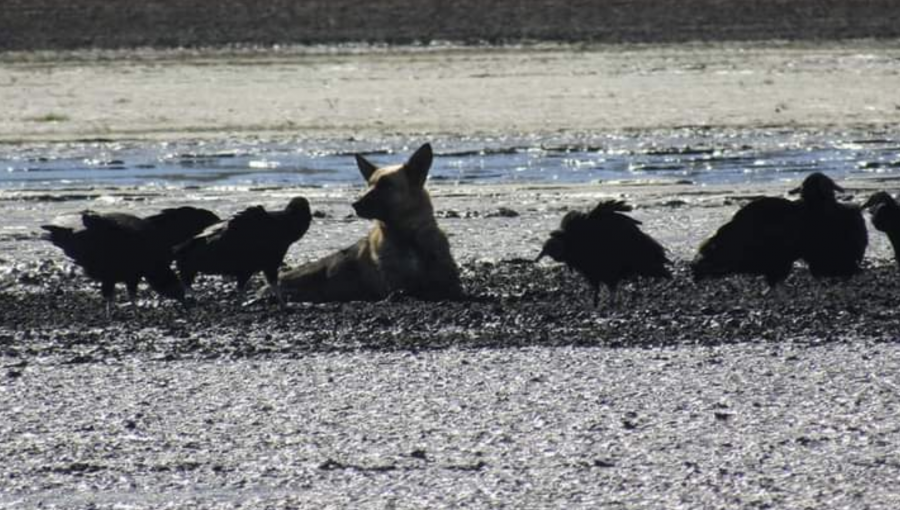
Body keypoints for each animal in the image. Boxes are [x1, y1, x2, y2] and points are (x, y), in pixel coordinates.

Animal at [280, 142, 464, 302]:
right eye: (369, 184)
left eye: (385, 184)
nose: (355, 204)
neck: (407, 237)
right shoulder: (398, 289)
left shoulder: (452, 285)